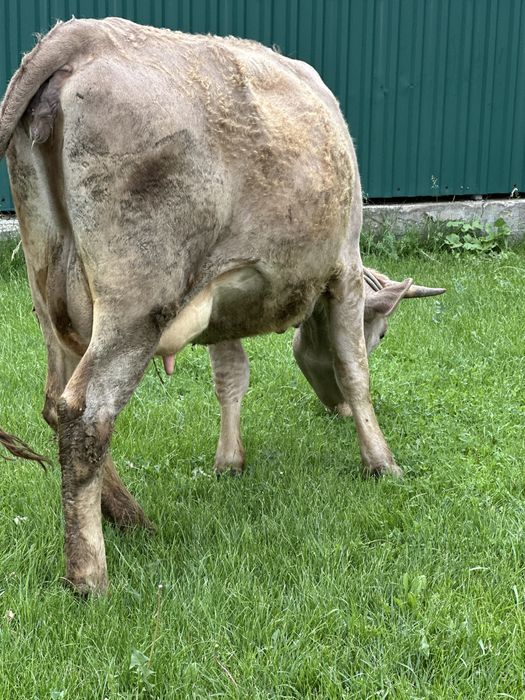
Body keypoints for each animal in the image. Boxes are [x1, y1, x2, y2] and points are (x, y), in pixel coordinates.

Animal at [0, 17, 439, 593]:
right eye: (382, 332)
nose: (335, 413)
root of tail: (82, 35)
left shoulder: (218, 298)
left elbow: (231, 376)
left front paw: (229, 462)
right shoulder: (343, 266)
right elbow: (354, 369)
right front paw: (380, 461)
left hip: (52, 295)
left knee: (56, 401)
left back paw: (132, 519)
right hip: (137, 302)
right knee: (86, 412)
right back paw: (89, 574)